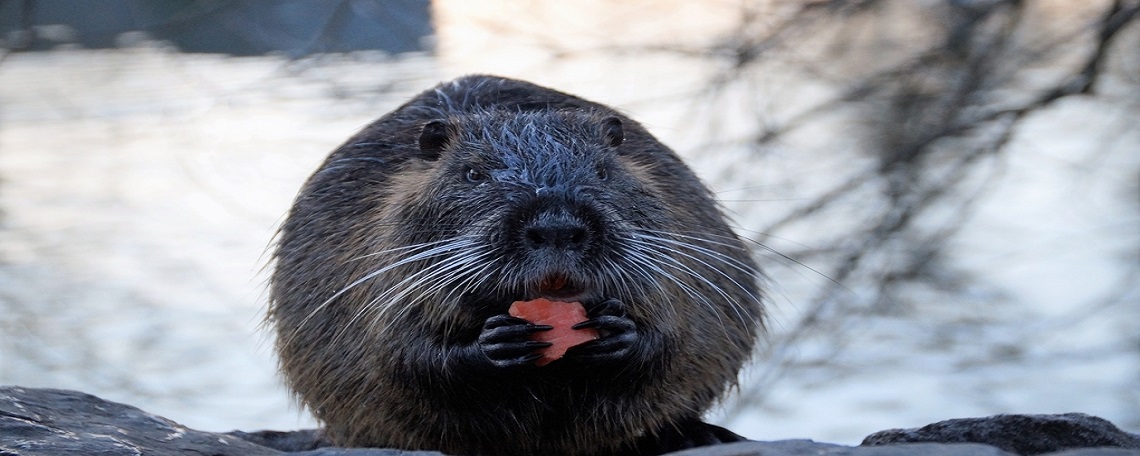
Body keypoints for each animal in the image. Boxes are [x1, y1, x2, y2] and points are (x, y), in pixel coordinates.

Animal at [269, 74, 766, 456]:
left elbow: (672, 337)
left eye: (604, 171)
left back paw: (705, 434)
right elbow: (402, 357)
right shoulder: (379, 265)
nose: (557, 227)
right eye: (473, 174)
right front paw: (499, 342)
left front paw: (615, 331)